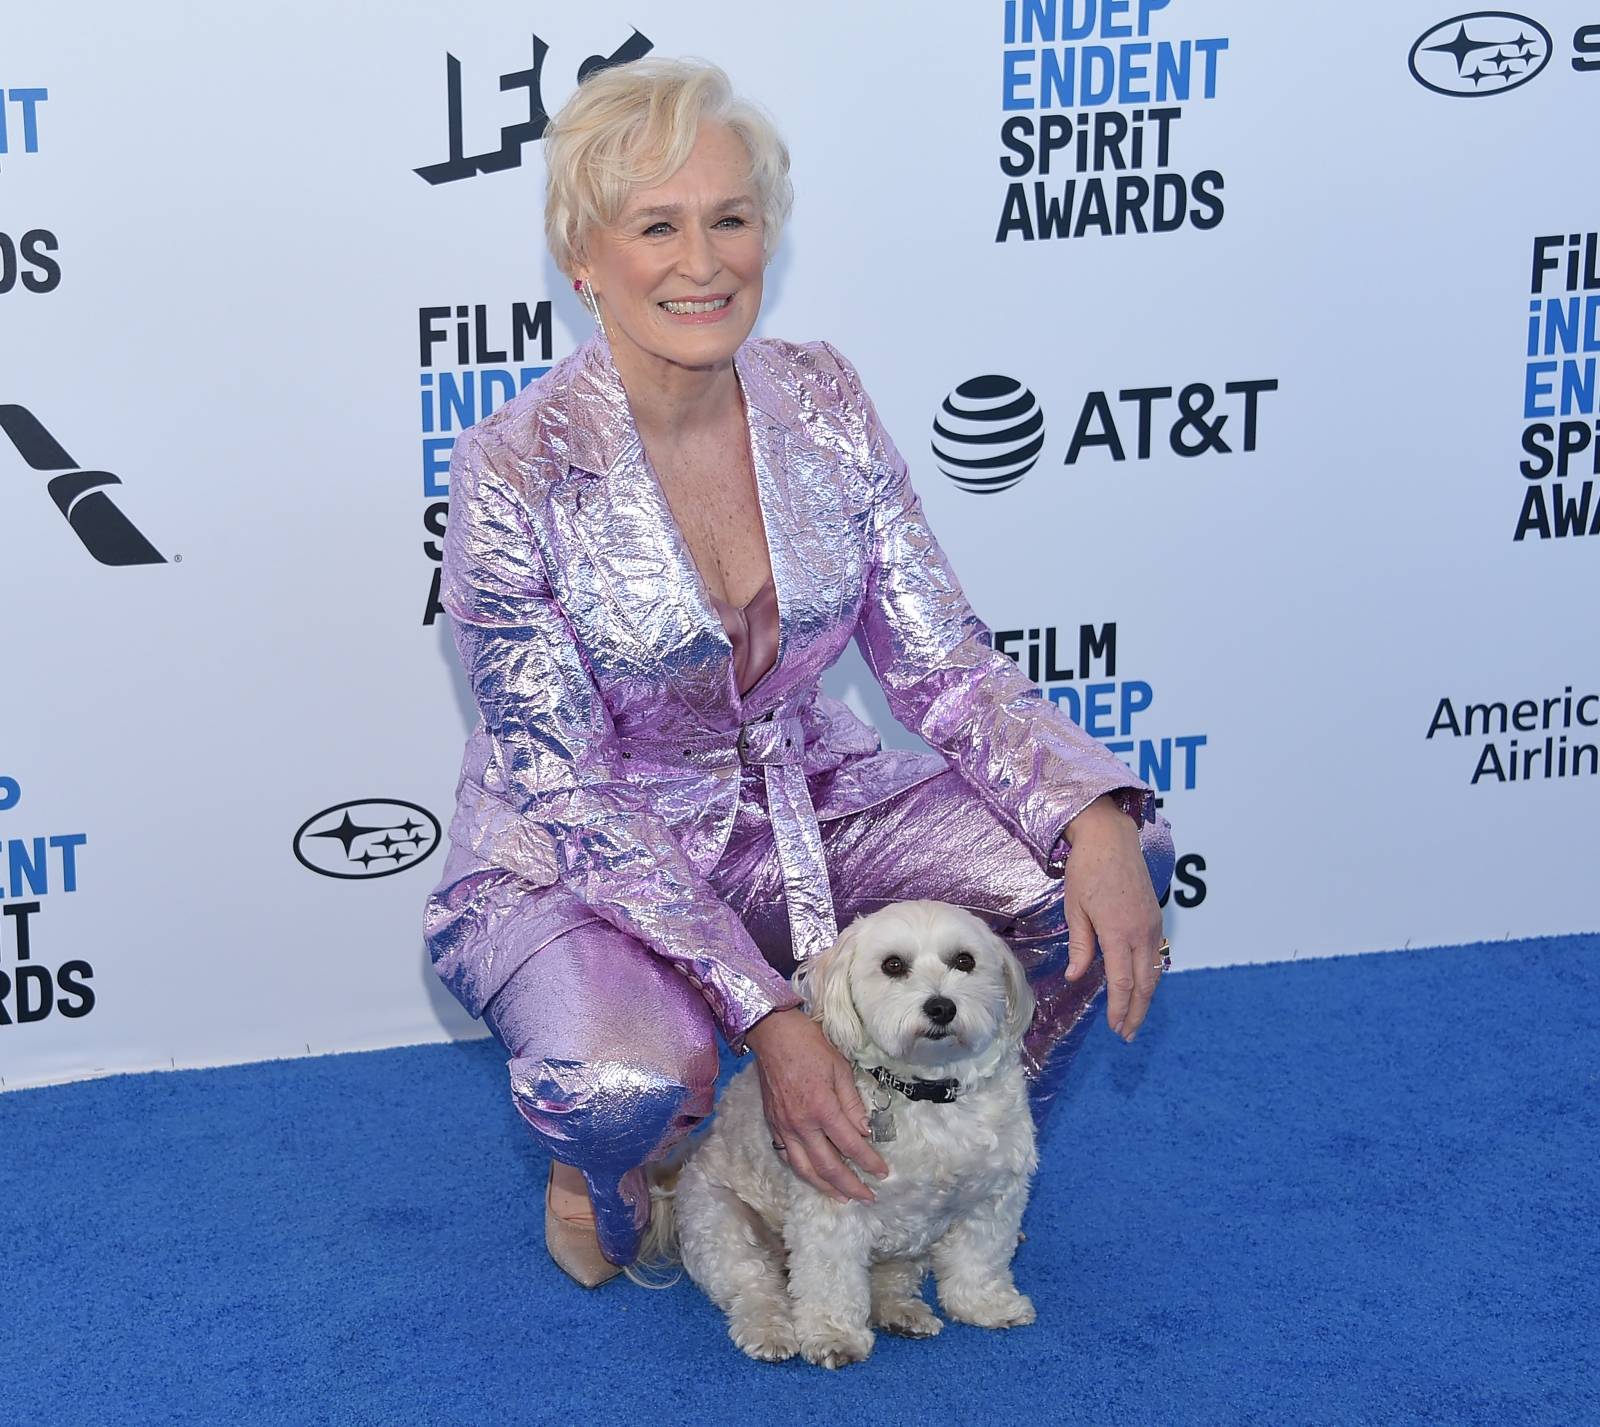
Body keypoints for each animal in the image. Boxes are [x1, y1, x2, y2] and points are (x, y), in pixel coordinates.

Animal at [636, 895, 1036, 1363]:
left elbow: (980, 1259)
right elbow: (831, 1278)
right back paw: (769, 1329)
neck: (927, 1093)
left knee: (891, 1276)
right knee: (754, 1285)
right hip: (719, 1222)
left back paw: (901, 1312)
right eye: (893, 965)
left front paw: (986, 1306)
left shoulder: (993, 1197)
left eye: (964, 961)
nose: (941, 1006)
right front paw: (833, 1335)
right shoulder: (832, 1204)